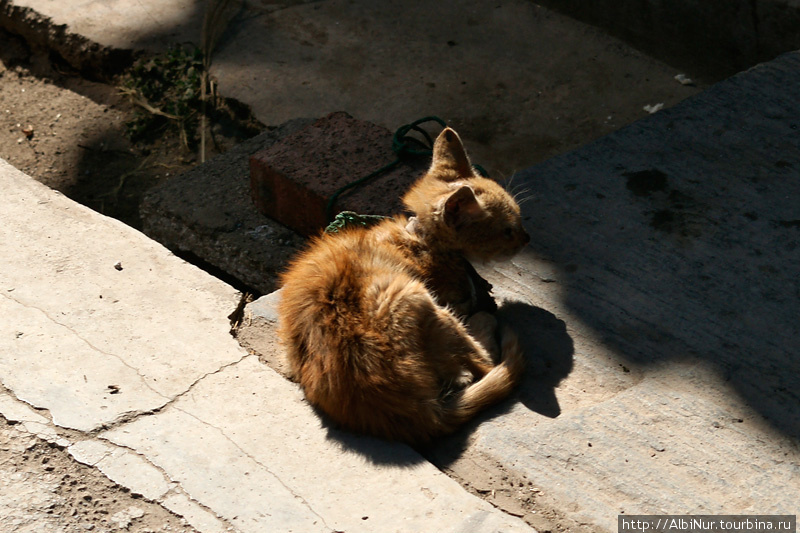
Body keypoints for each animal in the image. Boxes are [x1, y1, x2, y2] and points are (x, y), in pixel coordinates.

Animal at [278, 127, 528, 442]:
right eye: (508, 231)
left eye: (519, 219)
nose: (527, 238)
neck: (421, 240)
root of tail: (420, 416)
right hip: (415, 296)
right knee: (484, 362)